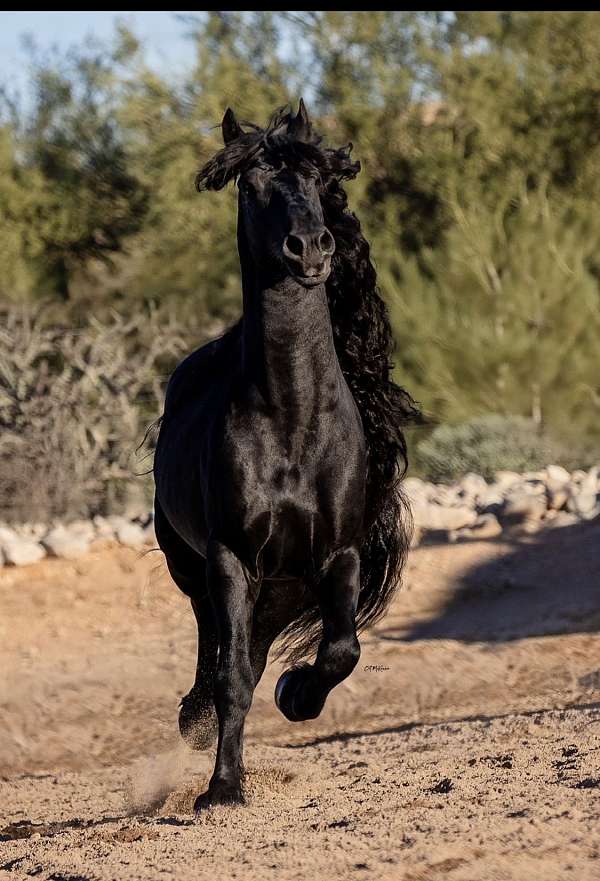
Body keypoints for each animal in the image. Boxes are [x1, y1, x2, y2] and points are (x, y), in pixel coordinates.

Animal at [153, 100, 418, 810]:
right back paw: (195, 720)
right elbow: (233, 676)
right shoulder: (230, 556)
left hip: (283, 579)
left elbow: (341, 650)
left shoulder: (338, 554)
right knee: (217, 649)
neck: (293, 419)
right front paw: (221, 789)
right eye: (251, 185)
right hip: (196, 566)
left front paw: (297, 692)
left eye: (318, 181)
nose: (311, 248)